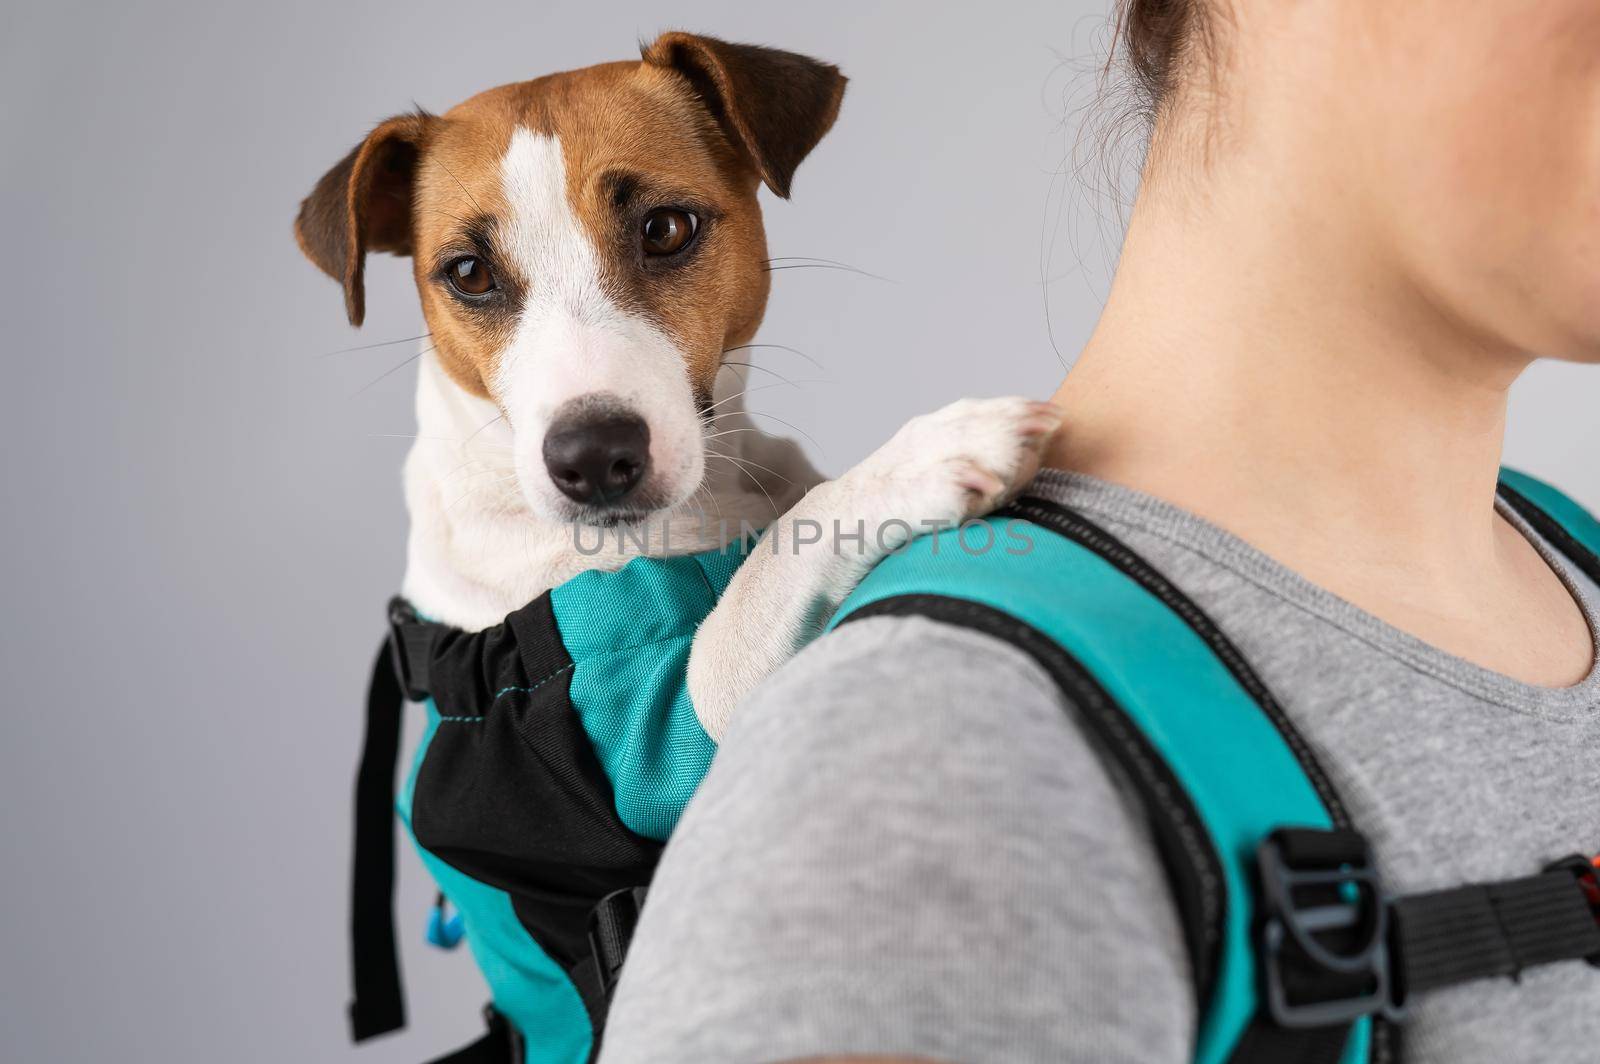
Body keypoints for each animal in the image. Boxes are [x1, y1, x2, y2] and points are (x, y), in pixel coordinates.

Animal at [297, 31, 1062, 729]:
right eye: (469, 273)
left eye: (665, 228)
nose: (592, 459)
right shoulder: (696, 703)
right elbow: (756, 586)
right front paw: (921, 457)